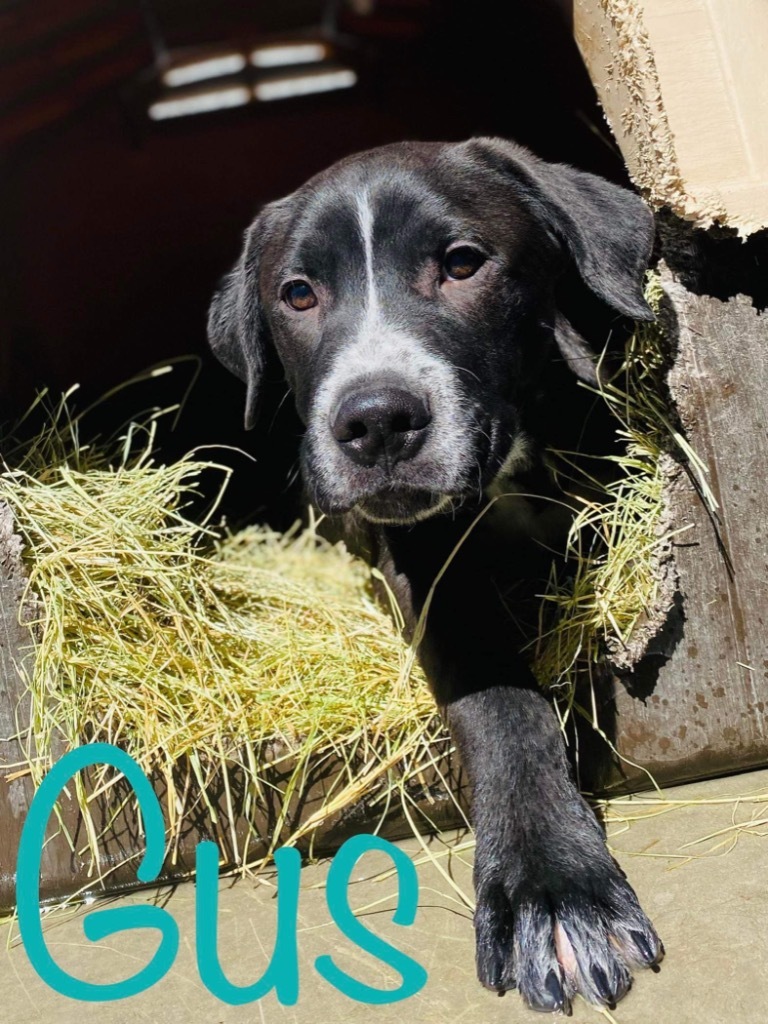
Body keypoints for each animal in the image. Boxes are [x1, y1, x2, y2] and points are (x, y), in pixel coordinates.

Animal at [207, 140, 663, 1011]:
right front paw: (550, 885)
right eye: (298, 294)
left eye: (461, 263)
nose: (375, 420)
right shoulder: (423, 574)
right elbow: (499, 704)